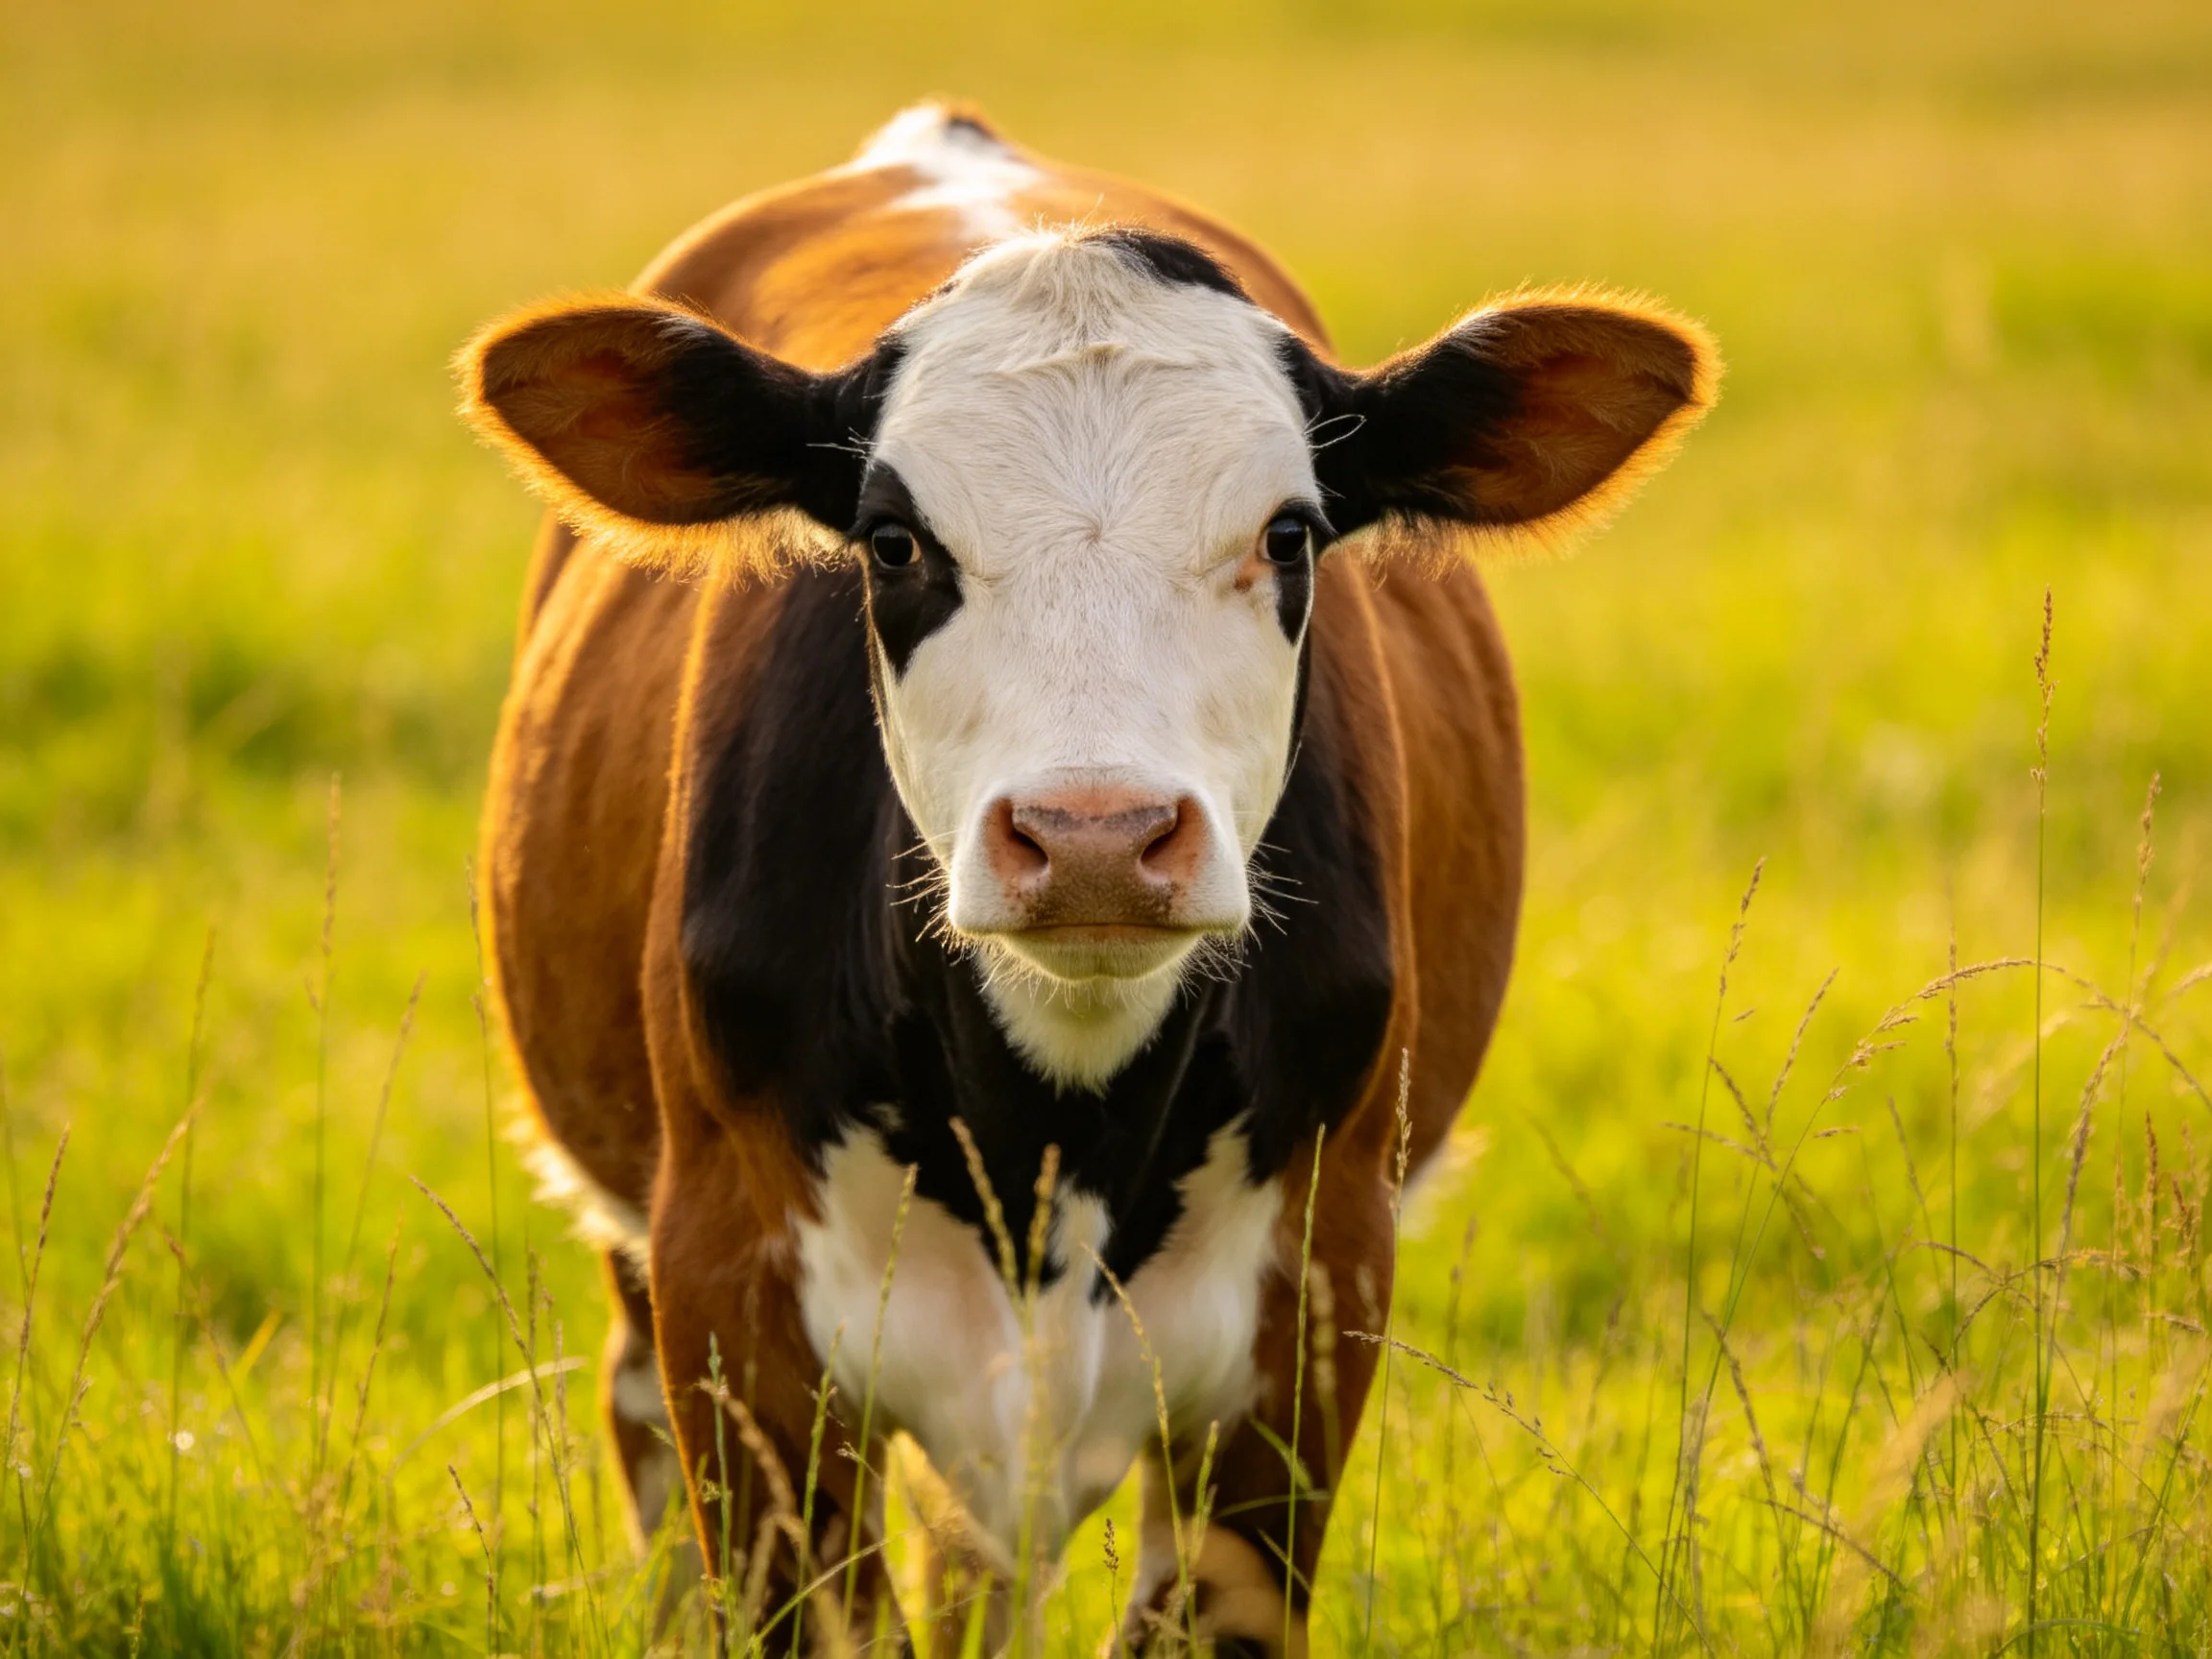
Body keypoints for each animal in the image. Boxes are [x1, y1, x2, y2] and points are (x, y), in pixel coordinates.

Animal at [459, 102, 1714, 1653]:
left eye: (1289, 532)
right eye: (896, 540)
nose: (1096, 834)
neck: (1050, 1127)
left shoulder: (1313, 1302)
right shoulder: (729, 1292)